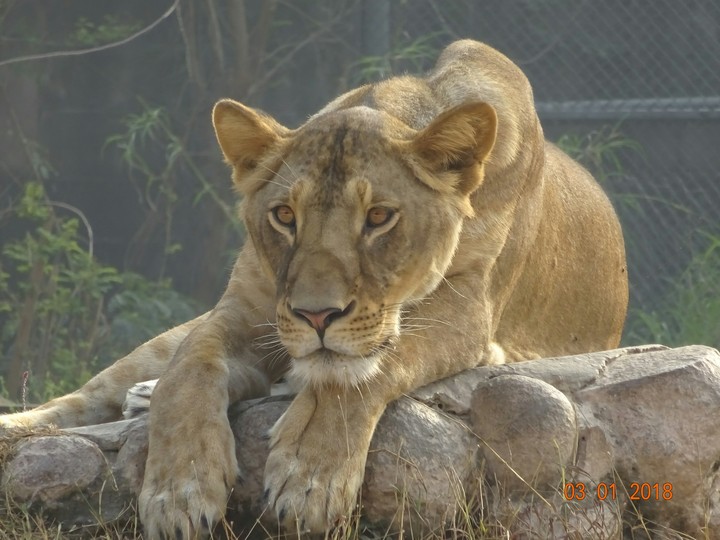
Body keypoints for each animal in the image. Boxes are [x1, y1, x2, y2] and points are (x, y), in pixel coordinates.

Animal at [0, 40, 628, 538]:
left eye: (379, 217)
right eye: (284, 216)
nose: (316, 316)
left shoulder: (470, 311)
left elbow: (368, 366)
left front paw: (308, 478)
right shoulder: (248, 305)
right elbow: (191, 367)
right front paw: (179, 490)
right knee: (82, 398)